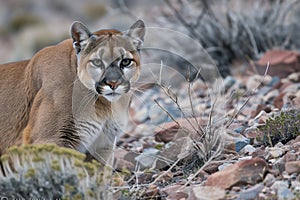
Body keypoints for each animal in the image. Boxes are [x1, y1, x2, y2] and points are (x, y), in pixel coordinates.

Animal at [0, 19, 145, 163]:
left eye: (125, 61)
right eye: (97, 62)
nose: (113, 83)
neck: (105, 105)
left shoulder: (103, 145)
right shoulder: (49, 139)